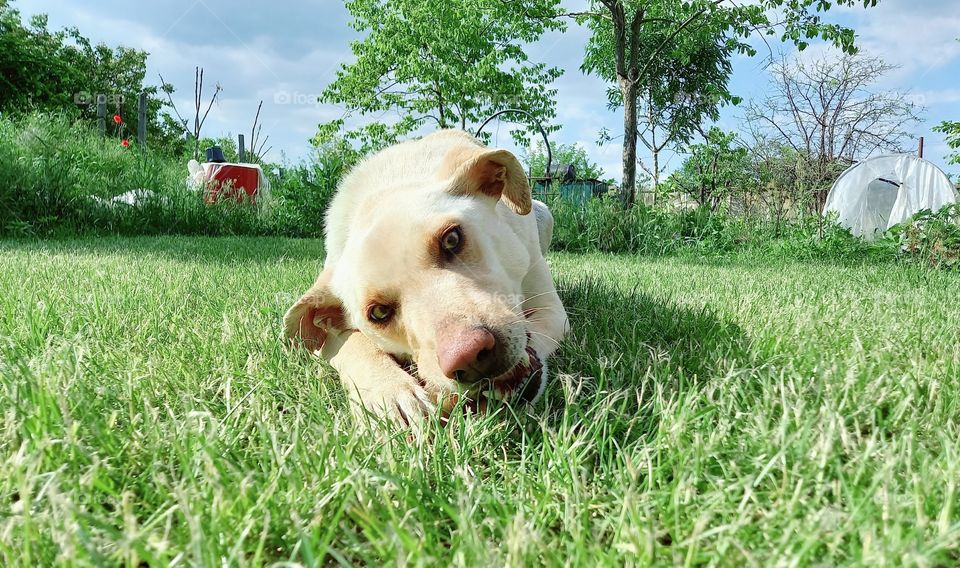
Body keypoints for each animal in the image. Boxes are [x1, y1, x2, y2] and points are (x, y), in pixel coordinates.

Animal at [284, 130, 568, 426]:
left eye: (452, 239)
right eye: (379, 313)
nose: (468, 357)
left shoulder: (552, 310)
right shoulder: (326, 341)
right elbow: (356, 345)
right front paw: (389, 395)